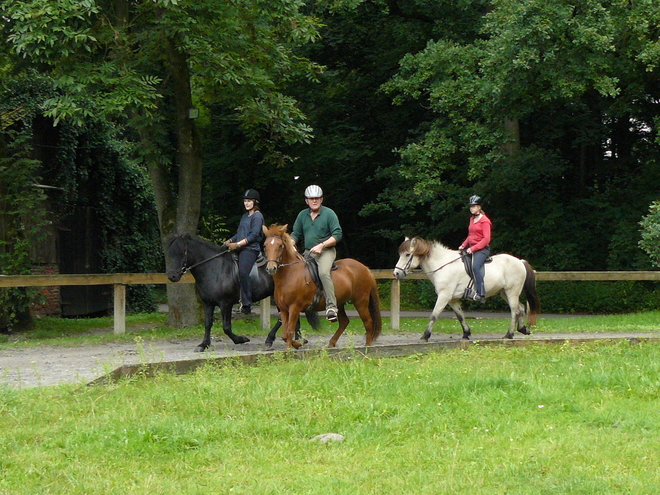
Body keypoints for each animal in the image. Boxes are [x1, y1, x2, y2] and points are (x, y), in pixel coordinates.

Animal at [168, 233, 318, 352]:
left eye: (182, 253)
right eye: (170, 253)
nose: (172, 276)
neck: (215, 268)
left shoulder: (225, 303)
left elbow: (226, 327)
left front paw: (241, 339)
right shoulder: (208, 303)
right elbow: (207, 324)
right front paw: (203, 344)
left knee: (283, 318)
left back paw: (271, 340)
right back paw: (298, 339)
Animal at [394, 236, 540, 340]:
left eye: (407, 254)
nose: (396, 273)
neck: (443, 265)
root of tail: (520, 261)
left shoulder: (444, 296)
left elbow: (434, 315)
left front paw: (425, 336)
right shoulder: (452, 299)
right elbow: (460, 316)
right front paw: (466, 333)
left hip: (511, 292)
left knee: (514, 311)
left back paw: (509, 334)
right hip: (504, 293)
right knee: (520, 308)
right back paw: (523, 329)